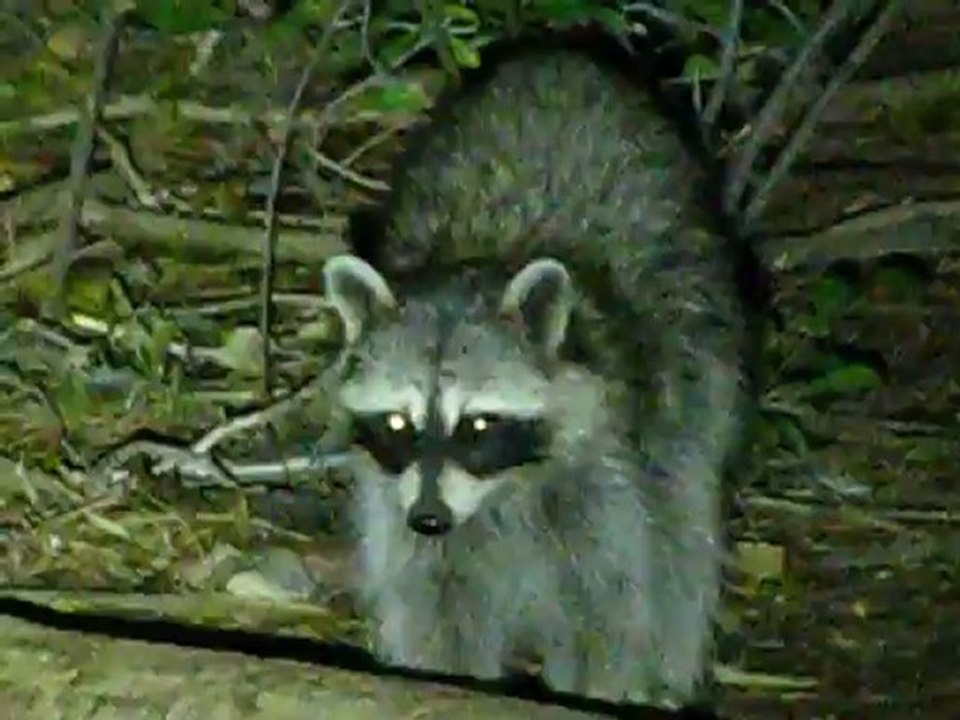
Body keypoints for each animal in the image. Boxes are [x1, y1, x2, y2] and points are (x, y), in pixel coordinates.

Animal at [321, 42, 755, 708]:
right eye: (397, 423)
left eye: (477, 425)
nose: (430, 519)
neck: (499, 493)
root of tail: (560, 54)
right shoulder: (400, 507)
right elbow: (433, 607)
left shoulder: (607, 474)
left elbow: (613, 609)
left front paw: (604, 687)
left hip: (701, 344)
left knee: (685, 519)